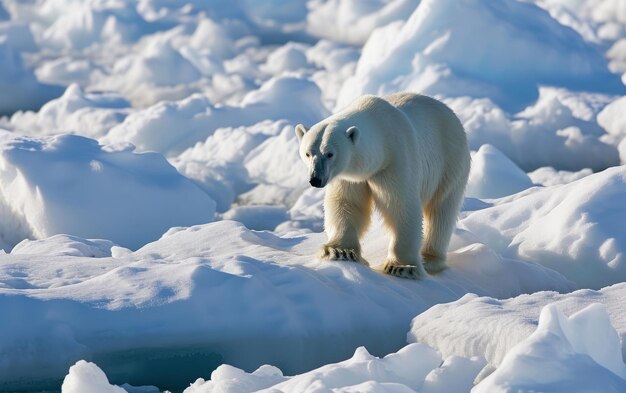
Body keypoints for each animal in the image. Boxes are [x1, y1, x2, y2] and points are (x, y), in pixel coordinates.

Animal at [294, 93, 466, 278]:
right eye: (308, 153)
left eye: (329, 154)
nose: (315, 179)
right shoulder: (349, 176)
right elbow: (347, 203)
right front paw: (339, 251)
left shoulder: (395, 161)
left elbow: (401, 207)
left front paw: (401, 267)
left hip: (450, 162)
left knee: (441, 211)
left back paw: (429, 259)